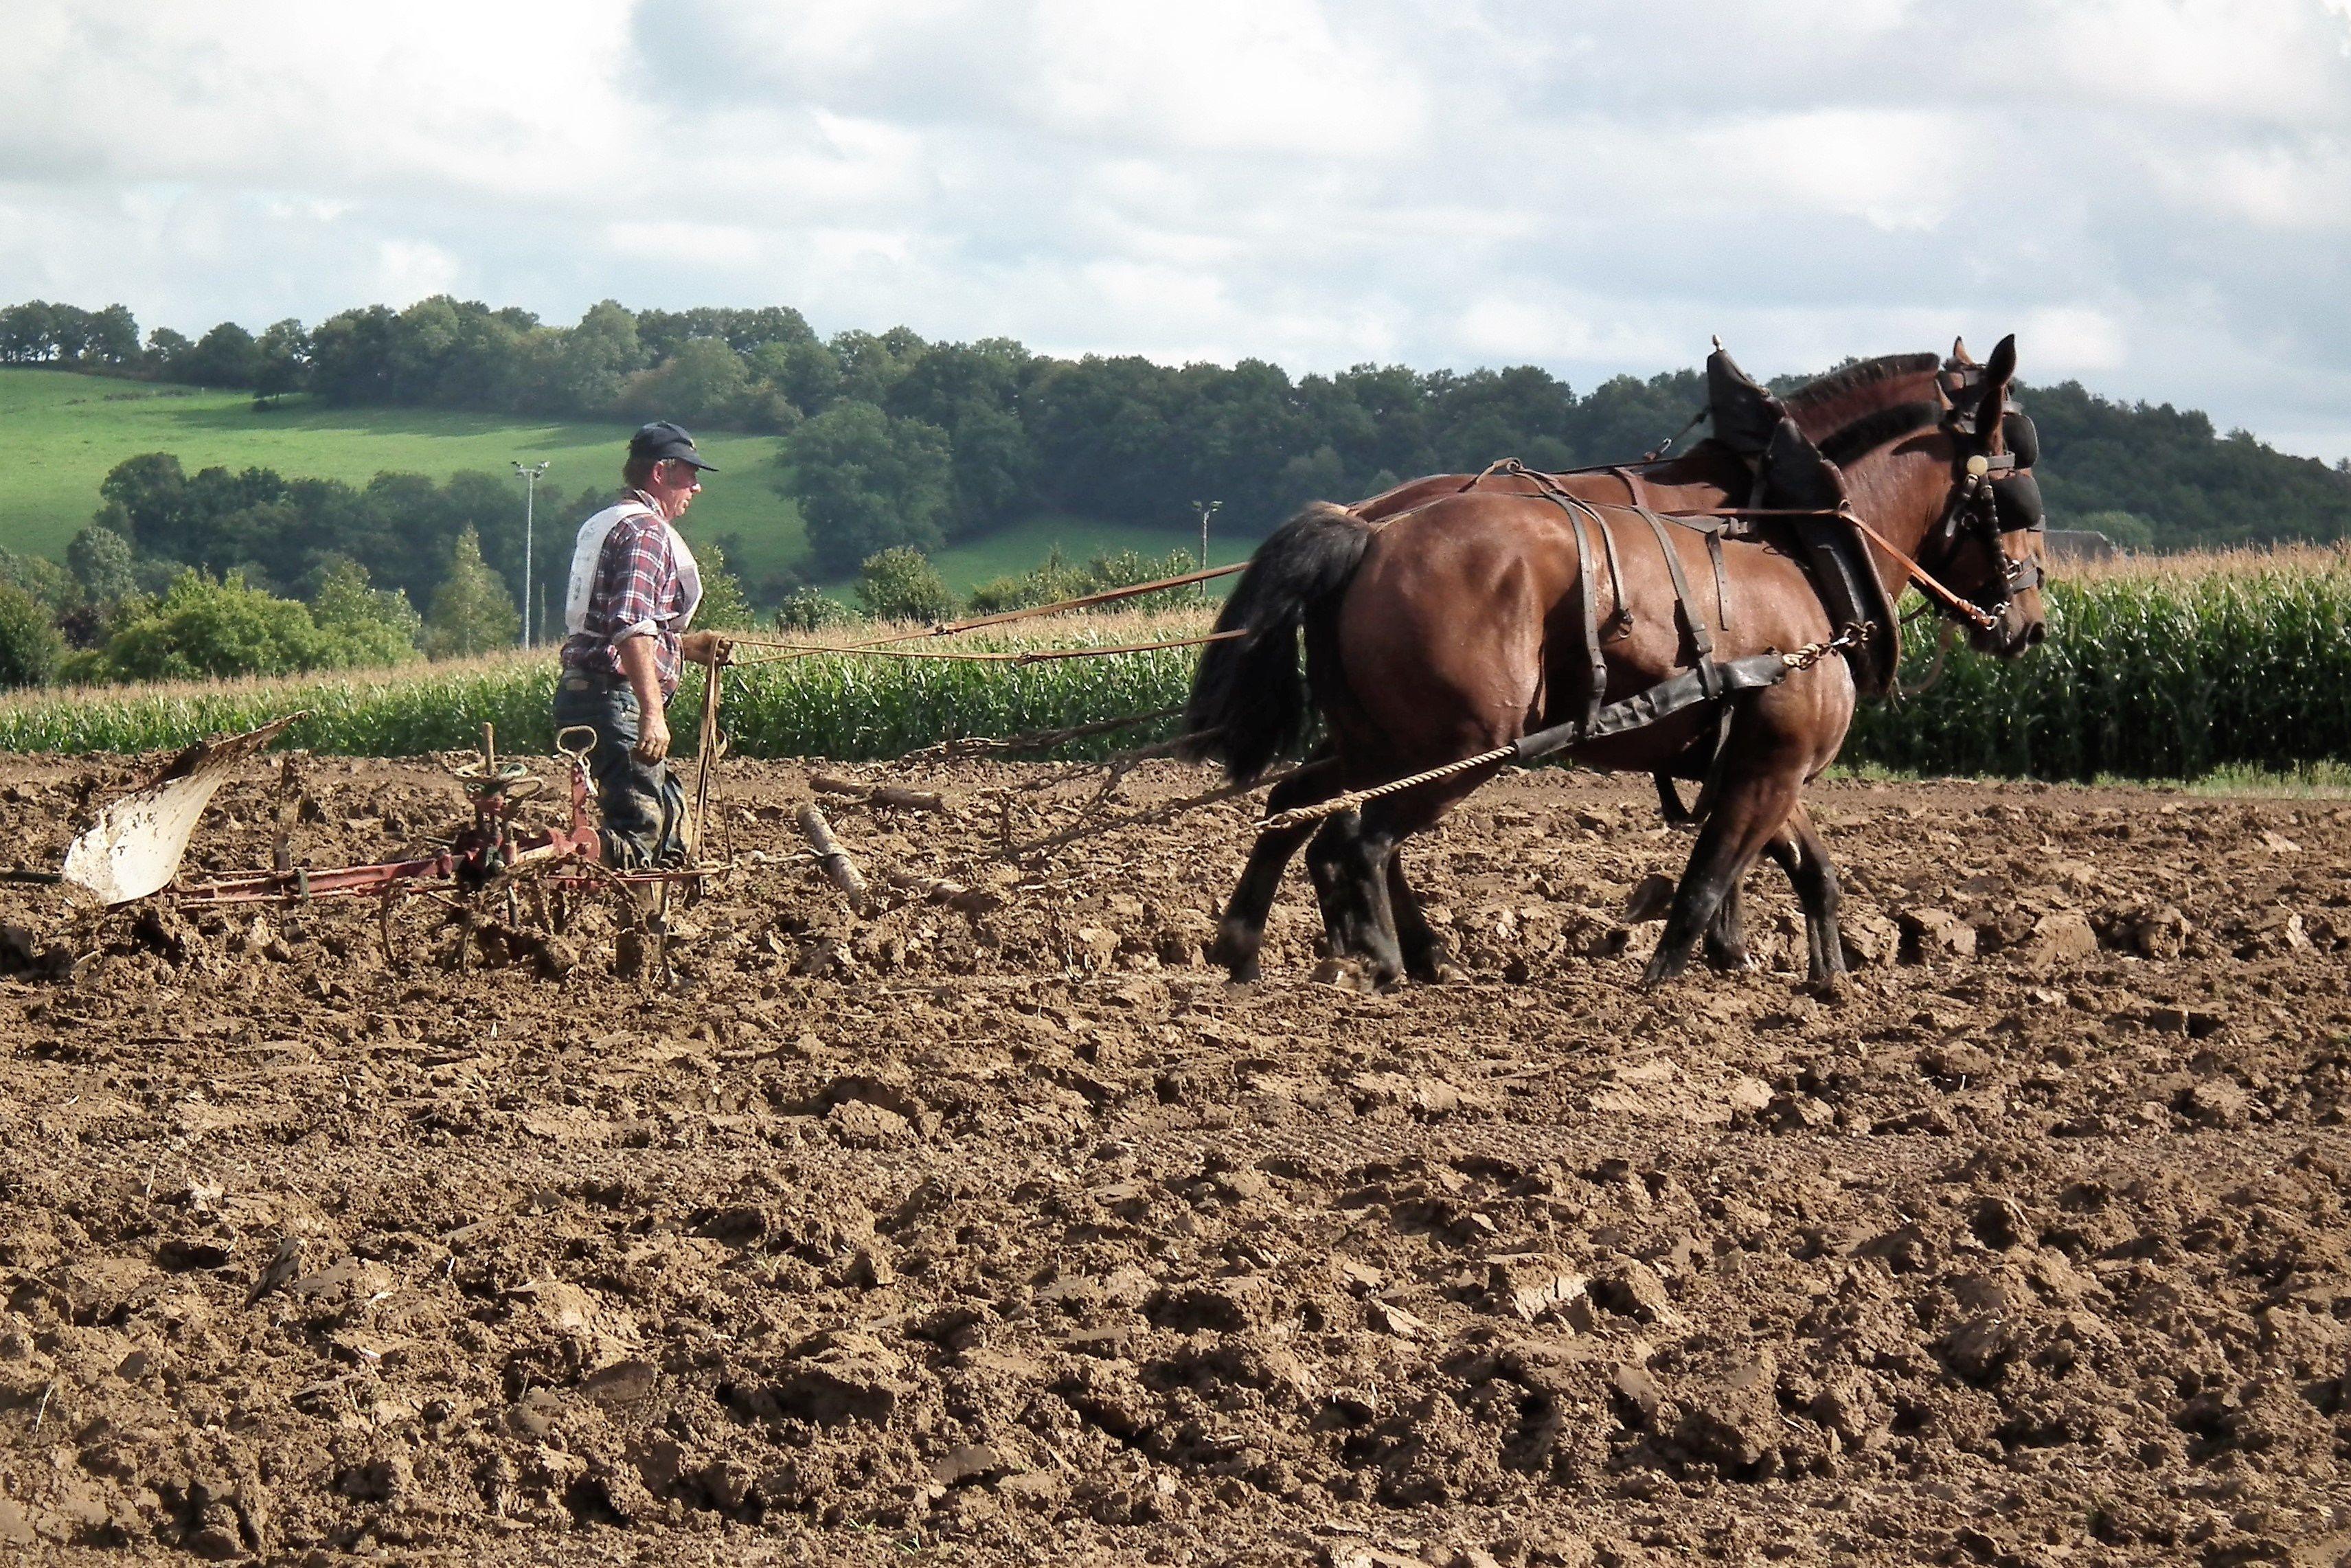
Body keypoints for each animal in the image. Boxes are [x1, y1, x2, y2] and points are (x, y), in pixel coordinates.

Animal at [1185, 338, 2049, 987]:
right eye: (2018, 488)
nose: (2032, 624)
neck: (1796, 524)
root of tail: (1368, 528)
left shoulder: (1757, 756)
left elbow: (1804, 869)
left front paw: (1809, 975)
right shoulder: (1771, 754)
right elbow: (1715, 877)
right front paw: (1688, 974)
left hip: (1377, 740)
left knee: (1302, 809)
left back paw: (1260, 947)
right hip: (1457, 745)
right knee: (1356, 839)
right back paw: (1386, 960)